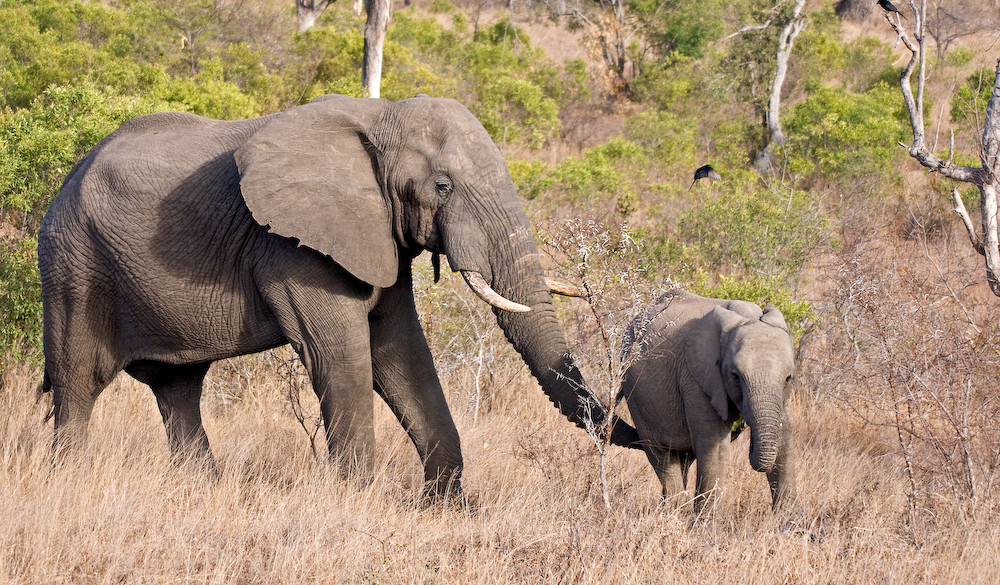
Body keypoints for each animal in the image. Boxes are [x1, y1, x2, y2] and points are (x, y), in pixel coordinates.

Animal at [39, 93, 636, 496]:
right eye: (442, 187)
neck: (377, 118)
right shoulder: (292, 247)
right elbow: (343, 356)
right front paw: (355, 501)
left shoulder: (377, 233)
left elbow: (402, 351)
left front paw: (445, 507)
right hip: (74, 265)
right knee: (77, 382)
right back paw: (70, 482)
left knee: (178, 388)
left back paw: (201, 490)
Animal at [616, 290, 796, 508]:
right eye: (735, 377)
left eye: (788, 378)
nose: (747, 431)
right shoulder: (696, 379)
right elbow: (714, 446)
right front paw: (706, 518)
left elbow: (784, 435)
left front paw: (788, 518)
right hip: (636, 395)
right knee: (661, 454)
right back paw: (673, 509)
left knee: (683, 458)